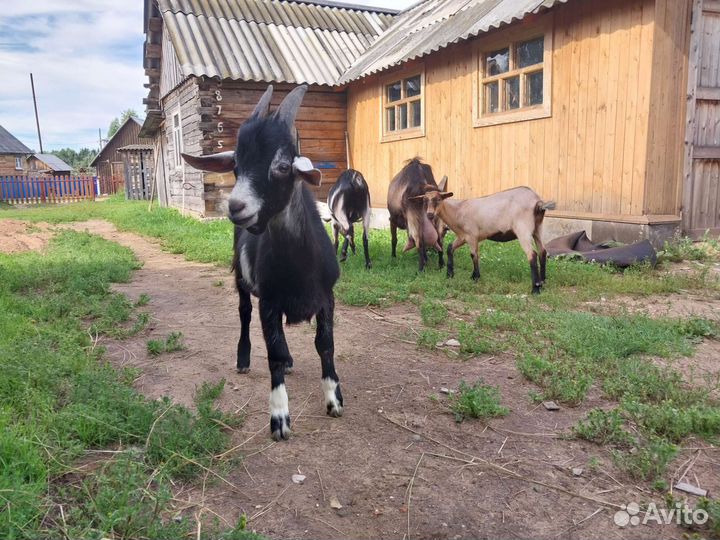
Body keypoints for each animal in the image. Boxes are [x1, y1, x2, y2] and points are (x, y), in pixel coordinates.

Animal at [181, 85, 343, 441]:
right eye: (236, 166)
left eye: (281, 166)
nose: (236, 207)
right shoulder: (268, 300)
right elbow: (274, 354)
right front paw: (279, 417)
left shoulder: (327, 297)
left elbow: (325, 345)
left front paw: (334, 399)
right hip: (241, 280)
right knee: (244, 314)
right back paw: (243, 358)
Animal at [411, 186, 555, 293]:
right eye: (424, 201)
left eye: (438, 199)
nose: (430, 215)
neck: (457, 210)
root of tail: (538, 202)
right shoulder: (463, 236)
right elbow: (450, 248)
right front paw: (450, 274)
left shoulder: (472, 235)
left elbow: (474, 255)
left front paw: (475, 277)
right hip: (537, 228)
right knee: (542, 252)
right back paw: (543, 282)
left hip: (523, 228)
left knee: (532, 254)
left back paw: (535, 289)